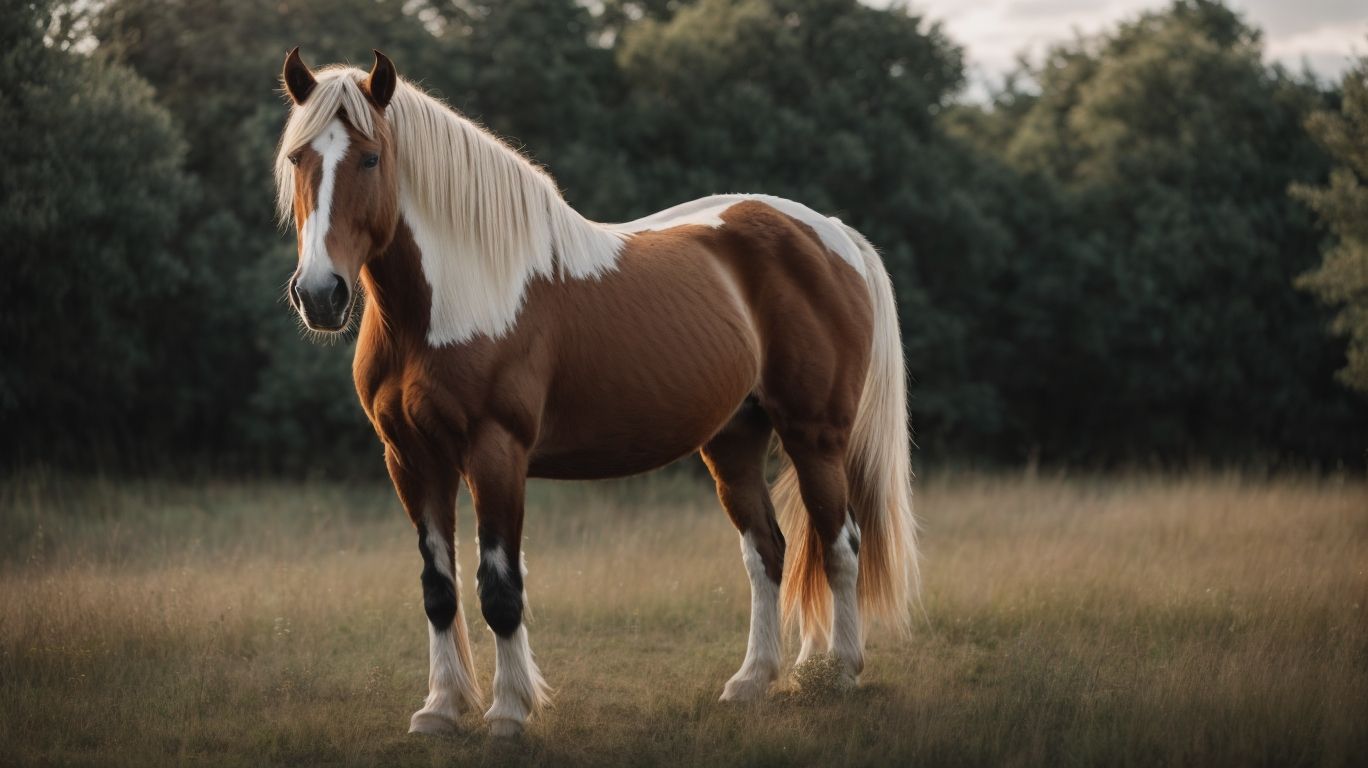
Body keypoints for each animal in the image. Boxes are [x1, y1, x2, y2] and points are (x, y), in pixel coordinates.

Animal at [274, 48, 917, 737]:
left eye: (370, 157)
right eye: (299, 158)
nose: (320, 294)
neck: (452, 298)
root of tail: (833, 233)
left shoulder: (496, 452)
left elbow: (500, 588)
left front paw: (508, 712)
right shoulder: (412, 459)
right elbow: (438, 589)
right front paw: (441, 709)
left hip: (815, 433)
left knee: (841, 544)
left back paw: (842, 672)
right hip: (734, 441)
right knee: (767, 552)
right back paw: (752, 681)